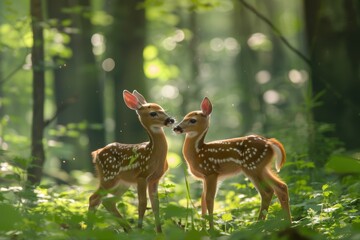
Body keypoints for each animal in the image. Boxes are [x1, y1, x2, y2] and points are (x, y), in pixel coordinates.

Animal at [89, 90, 175, 232]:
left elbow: (155, 205)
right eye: (153, 113)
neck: (153, 155)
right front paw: (140, 230)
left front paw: (159, 233)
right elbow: (142, 203)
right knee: (94, 198)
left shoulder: (155, 179)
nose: (171, 120)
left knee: (108, 201)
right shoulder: (142, 176)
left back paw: (127, 229)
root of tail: (96, 153)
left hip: (122, 183)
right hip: (109, 176)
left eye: (162, 109)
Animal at [173, 97, 292, 229]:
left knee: (267, 192)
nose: (176, 128)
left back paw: (258, 225)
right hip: (262, 167)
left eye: (192, 120)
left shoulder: (211, 172)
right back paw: (288, 223)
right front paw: (203, 229)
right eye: (184, 117)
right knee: (281, 187)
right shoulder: (204, 177)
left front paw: (211, 229)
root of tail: (270, 142)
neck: (197, 153)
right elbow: (202, 199)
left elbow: (209, 199)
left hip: (252, 166)